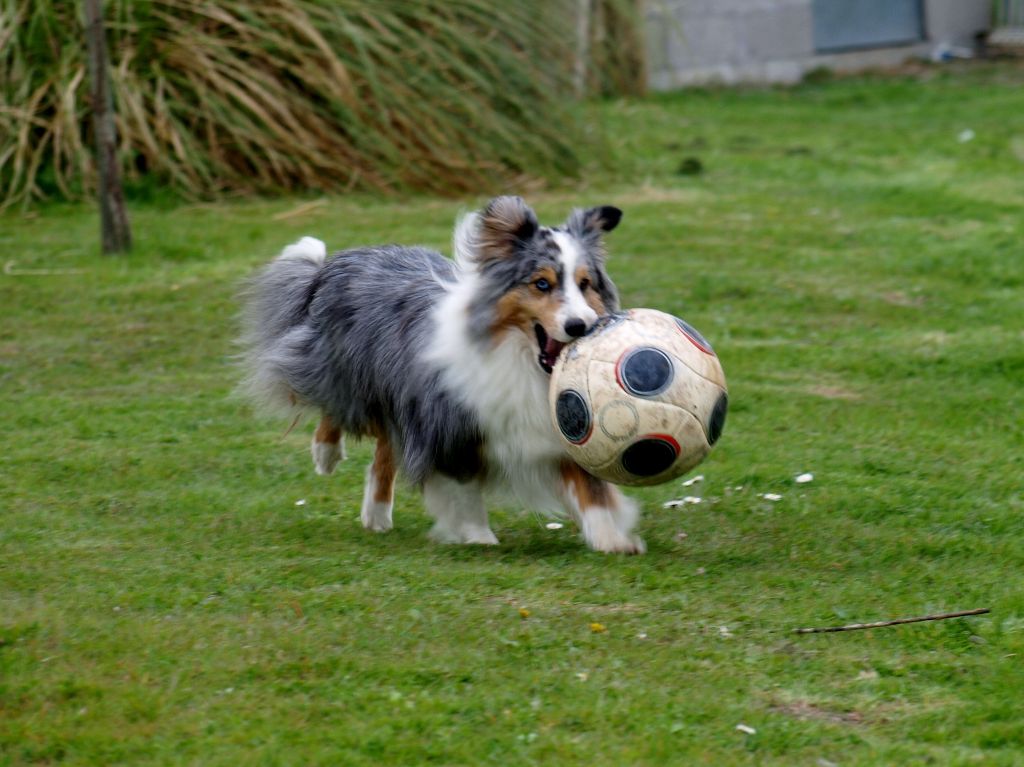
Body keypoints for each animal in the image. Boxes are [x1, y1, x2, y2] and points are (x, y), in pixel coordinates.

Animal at [240, 191, 643, 548]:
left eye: (585, 284)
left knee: (385, 447)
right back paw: (326, 455)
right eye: (541, 283)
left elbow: (592, 492)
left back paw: (376, 514)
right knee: (336, 408)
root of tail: (347, 258)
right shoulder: (445, 426)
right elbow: (463, 490)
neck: (519, 359)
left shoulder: (559, 434)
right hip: (350, 377)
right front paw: (479, 538)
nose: (580, 326)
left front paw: (611, 539)